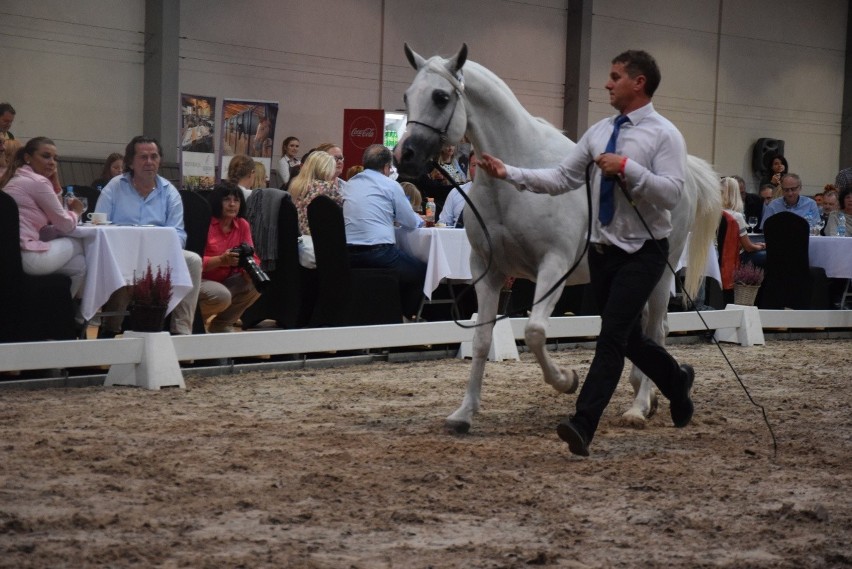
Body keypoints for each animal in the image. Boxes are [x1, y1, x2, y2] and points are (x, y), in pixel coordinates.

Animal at [392, 44, 720, 432]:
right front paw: (464, 413)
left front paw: (567, 380)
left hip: (659, 274)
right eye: (407, 96)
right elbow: (482, 339)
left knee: (657, 329)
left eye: (441, 97)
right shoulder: (487, 271)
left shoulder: (554, 266)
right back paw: (647, 394)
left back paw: (639, 407)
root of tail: (685, 172)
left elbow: (535, 332)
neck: (516, 177)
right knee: (641, 330)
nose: (405, 156)